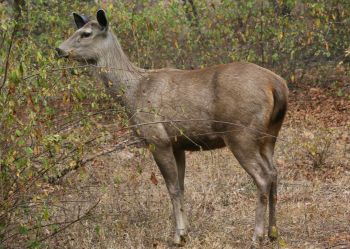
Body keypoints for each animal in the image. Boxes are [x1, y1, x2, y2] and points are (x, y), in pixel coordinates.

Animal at [56, 9, 288, 247]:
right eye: (77, 29)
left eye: (86, 33)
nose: (59, 49)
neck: (132, 93)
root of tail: (277, 86)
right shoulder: (178, 143)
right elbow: (182, 186)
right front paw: (186, 231)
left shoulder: (158, 139)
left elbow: (172, 188)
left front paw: (179, 236)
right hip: (270, 134)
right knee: (274, 172)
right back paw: (273, 232)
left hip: (241, 133)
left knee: (262, 176)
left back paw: (256, 236)